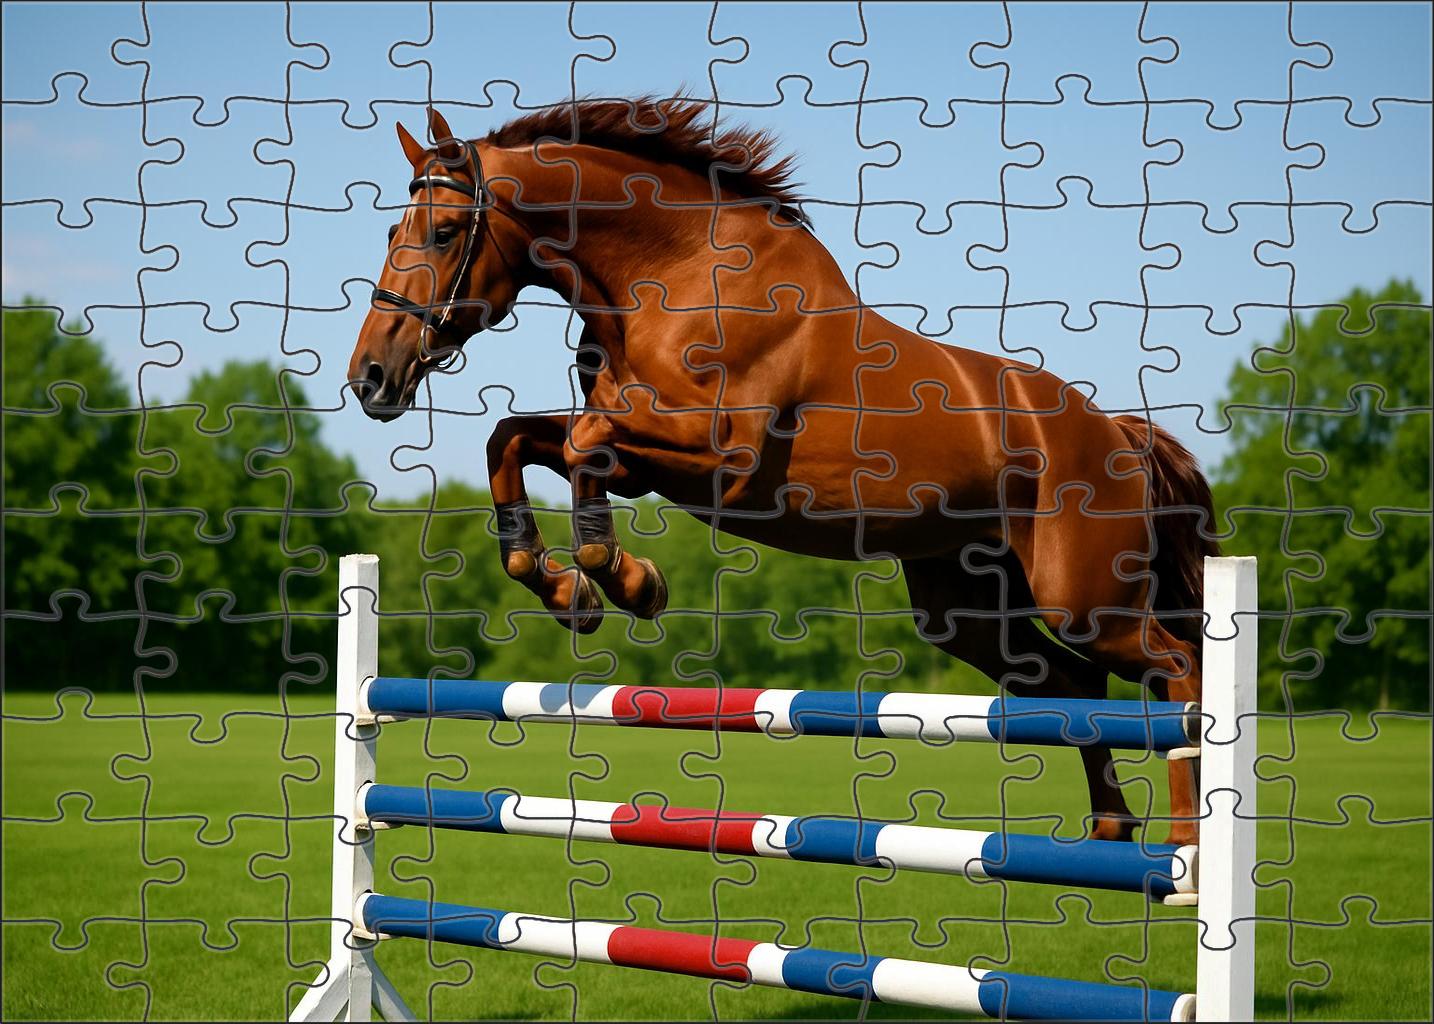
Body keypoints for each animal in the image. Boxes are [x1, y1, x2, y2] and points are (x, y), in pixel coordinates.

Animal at [348, 101, 1220, 846]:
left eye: (446, 231)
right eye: (392, 227)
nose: (371, 378)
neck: (674, 272)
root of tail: (1116, 432)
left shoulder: (716, 458)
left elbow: (579, 445)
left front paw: (624, 582)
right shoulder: (641, 456)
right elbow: (514, 440)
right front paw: (566, 589)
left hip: (1085, 597)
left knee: (1178, 665)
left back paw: (1185, 842)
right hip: (968, 607)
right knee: (1072, 684)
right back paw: (1111, 828)